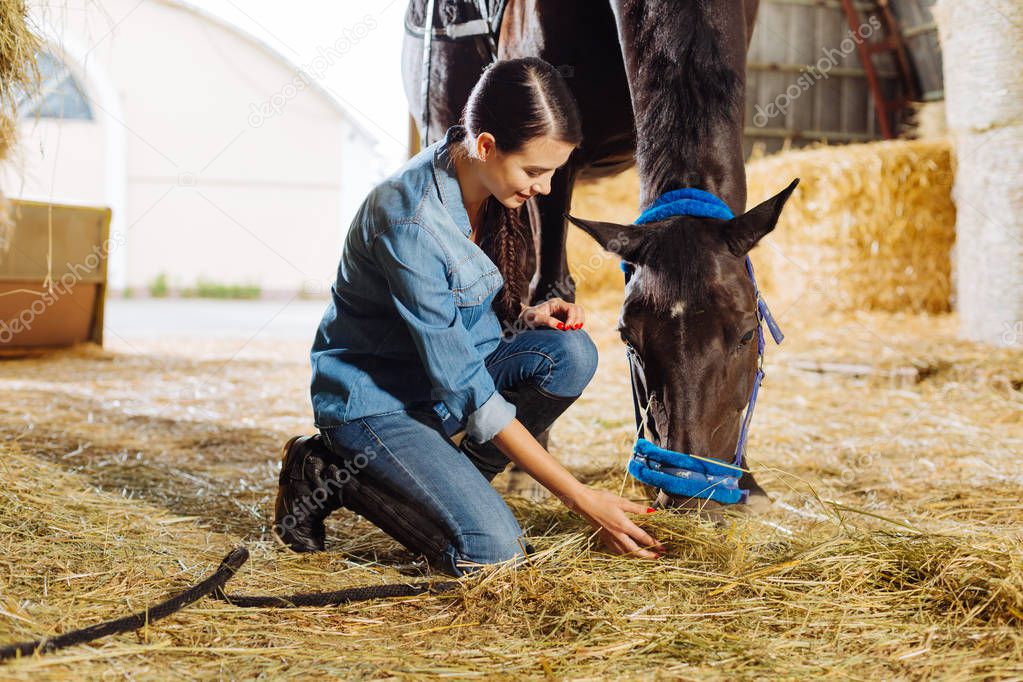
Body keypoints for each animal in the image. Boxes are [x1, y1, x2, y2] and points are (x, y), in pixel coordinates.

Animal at [401, 0, 797, 511]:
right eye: (628, 340)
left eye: (748, 333)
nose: (688, 496)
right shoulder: (551, 163)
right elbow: (550, 285)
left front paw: (747, 479)